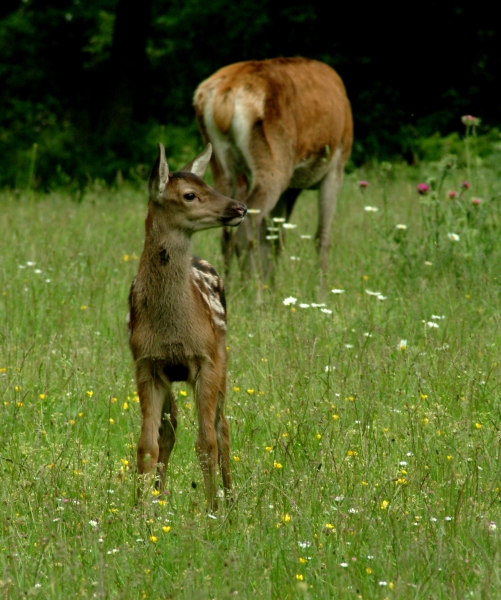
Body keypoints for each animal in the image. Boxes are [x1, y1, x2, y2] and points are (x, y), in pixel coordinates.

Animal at [129, 143, 246, 508]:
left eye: (207, 184)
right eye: (190, 195)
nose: (240, 207)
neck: (171, 328)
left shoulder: (206, 359)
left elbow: (206, 443)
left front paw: (213, 509)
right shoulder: (147, 364)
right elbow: (147, 444)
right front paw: (139, 510)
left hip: (223, 356)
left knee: (223, 426)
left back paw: (231, 499)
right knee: (171, 428)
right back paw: (158, 497)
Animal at [193, 56, 354, 276]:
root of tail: (223, 98)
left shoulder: (289, 189)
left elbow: (275, 239)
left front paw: (273, 282)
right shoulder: (336, 167)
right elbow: (322, 237)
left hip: (221, 163)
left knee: (227, 235)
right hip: (274, 164)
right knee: (247, 227)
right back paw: (251, 284)